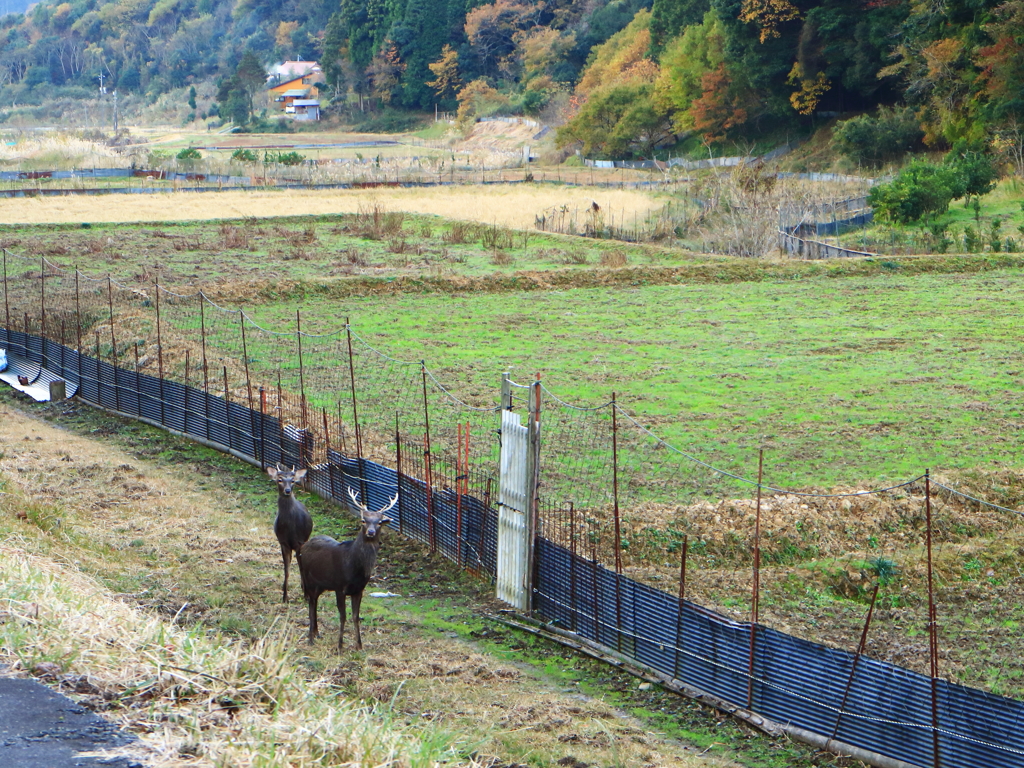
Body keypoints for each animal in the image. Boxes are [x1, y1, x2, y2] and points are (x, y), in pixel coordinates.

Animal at [296, 489, 395, 651]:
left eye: (379, 522)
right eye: (363, 520)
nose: (371, 532)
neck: (354, 569)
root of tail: (304, 546)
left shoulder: (359, 590)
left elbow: (355, 616)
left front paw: (359, 645)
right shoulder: (339, 586)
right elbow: (343, 616)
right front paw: (340, 645)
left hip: (321, 584)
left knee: (315, 601)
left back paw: (317, 633)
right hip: (307, 578)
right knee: (311, 602)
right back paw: (310, 638)